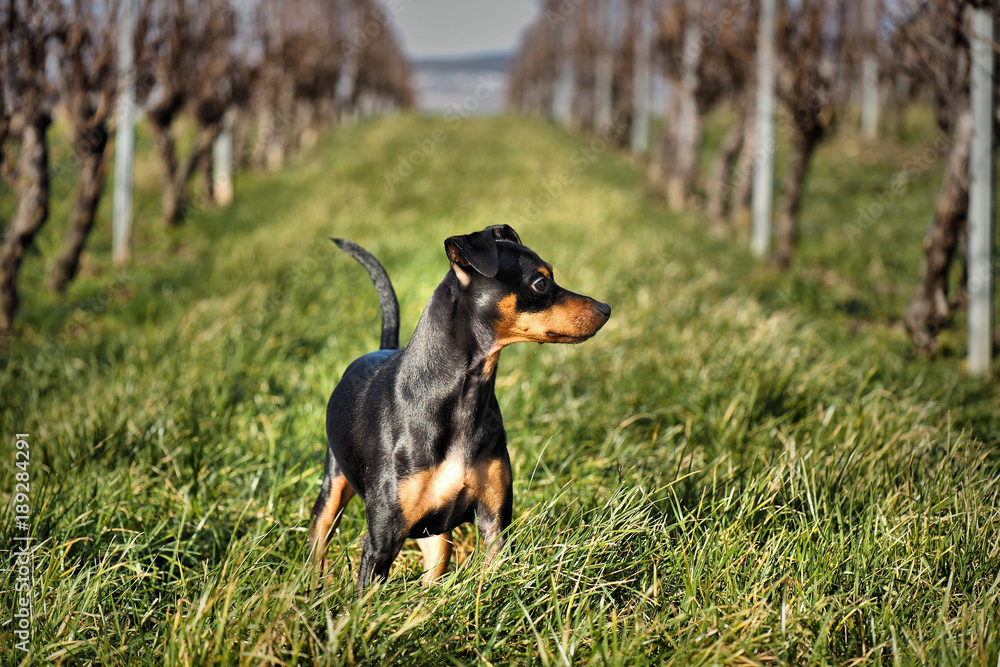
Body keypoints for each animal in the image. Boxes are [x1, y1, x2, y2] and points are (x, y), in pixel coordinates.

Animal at [308, 225, 610, 592]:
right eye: (540, 283)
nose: (607, 308)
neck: (461, 398)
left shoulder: (495, 524)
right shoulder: (381, 542)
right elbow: (366, 601)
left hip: (436, 538)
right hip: (332, 492)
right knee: (317, 546)